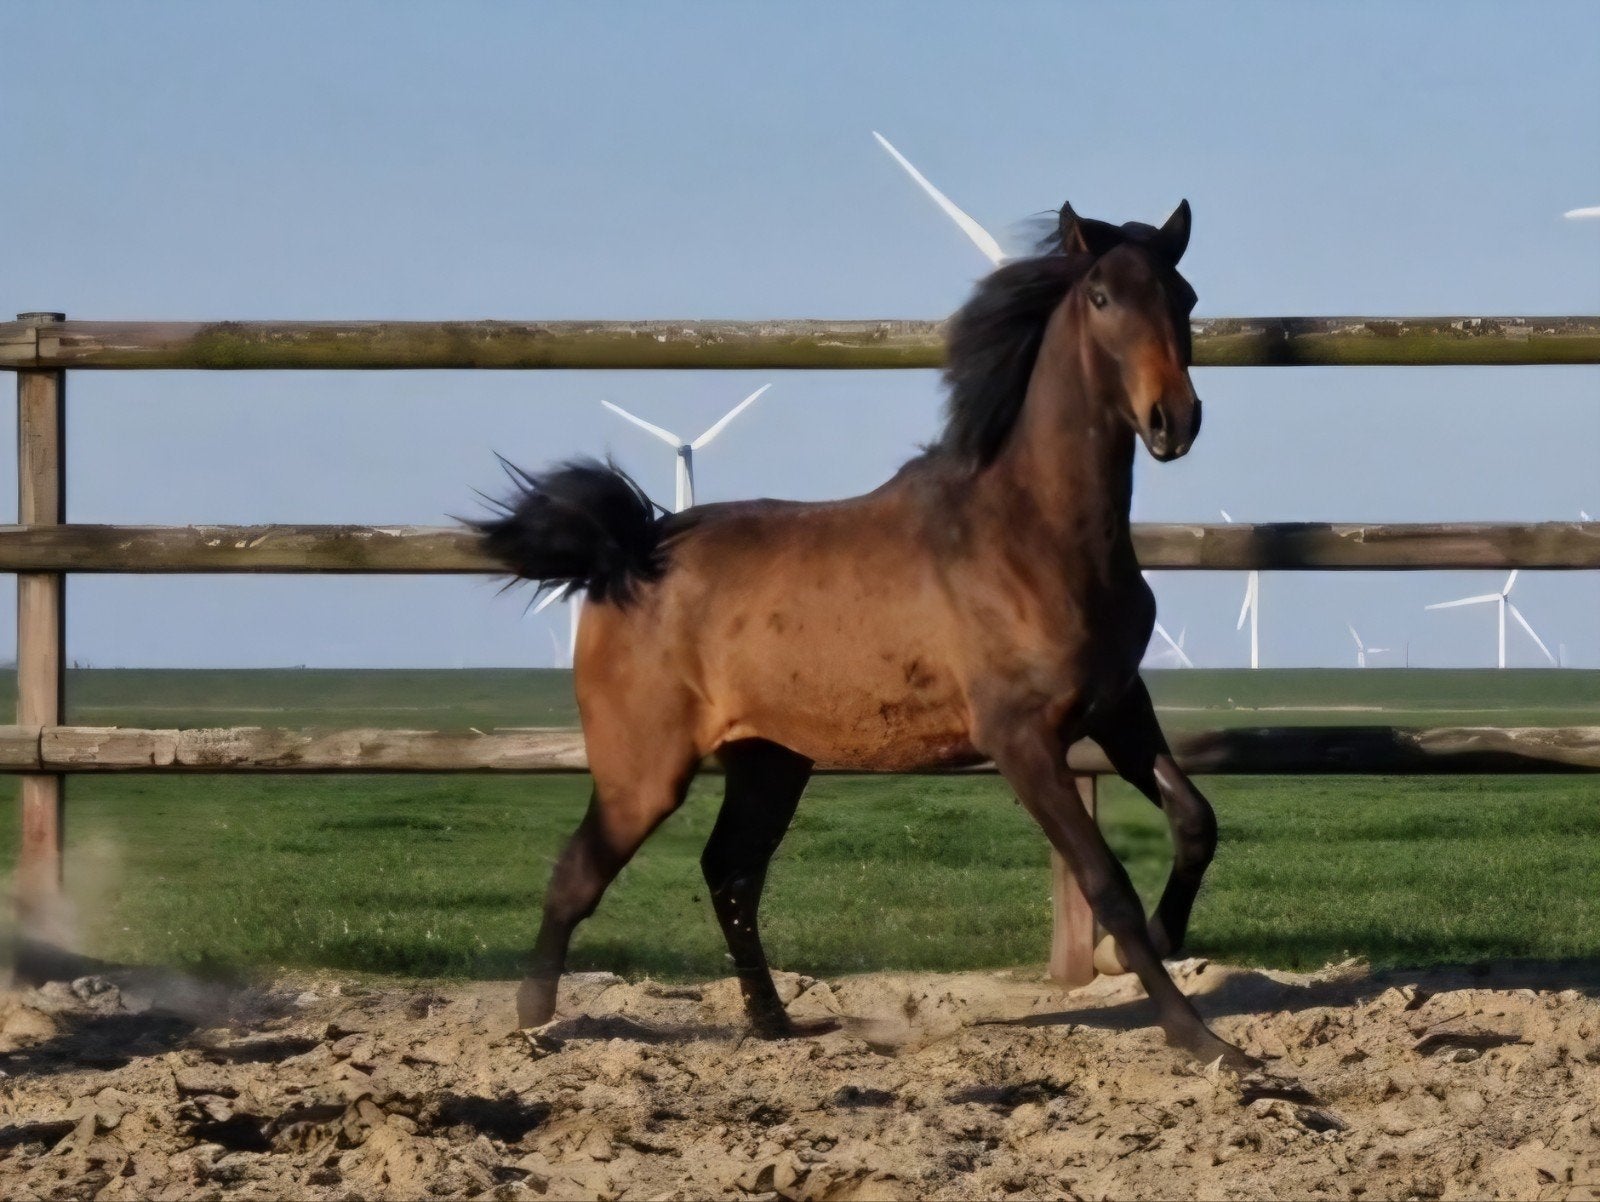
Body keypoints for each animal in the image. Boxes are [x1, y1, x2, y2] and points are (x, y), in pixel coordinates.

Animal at [477, 198, 1257, 1070]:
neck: (1033, 535)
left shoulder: (1117, 706)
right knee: (579, 874)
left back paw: (774, 1024)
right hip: (643, 769)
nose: (1173, 420)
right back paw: (534, 1024)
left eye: (1185, 297)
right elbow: (1105, 882)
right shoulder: (1022, 739)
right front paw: (1201, 1036)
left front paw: (1156, 943)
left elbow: (1195, 821)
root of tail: (629, 553)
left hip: (771, 762)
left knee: (730, 873)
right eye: (1101, 298)